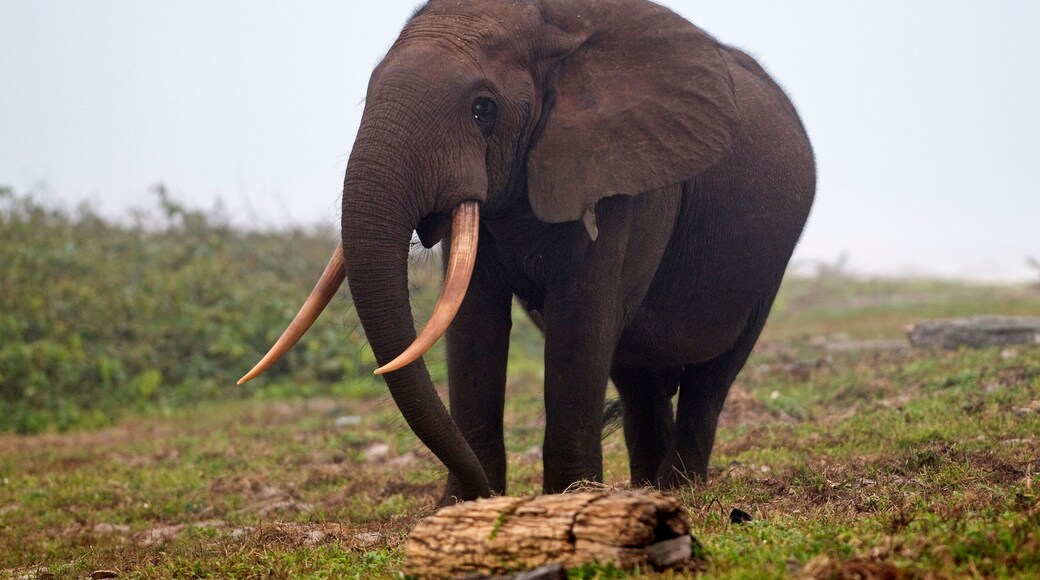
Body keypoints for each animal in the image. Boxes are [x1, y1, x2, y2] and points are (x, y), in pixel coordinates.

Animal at [241, 0, 815, 503]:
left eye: (483, 109)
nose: (483, 490)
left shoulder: (623, 175)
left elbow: (582, 321)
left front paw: (566, 502)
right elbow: (473, 323)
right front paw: (463, 508)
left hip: (769, 265)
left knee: (711, 376)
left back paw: (679, 490)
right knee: (636, 376)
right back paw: (649, 491)